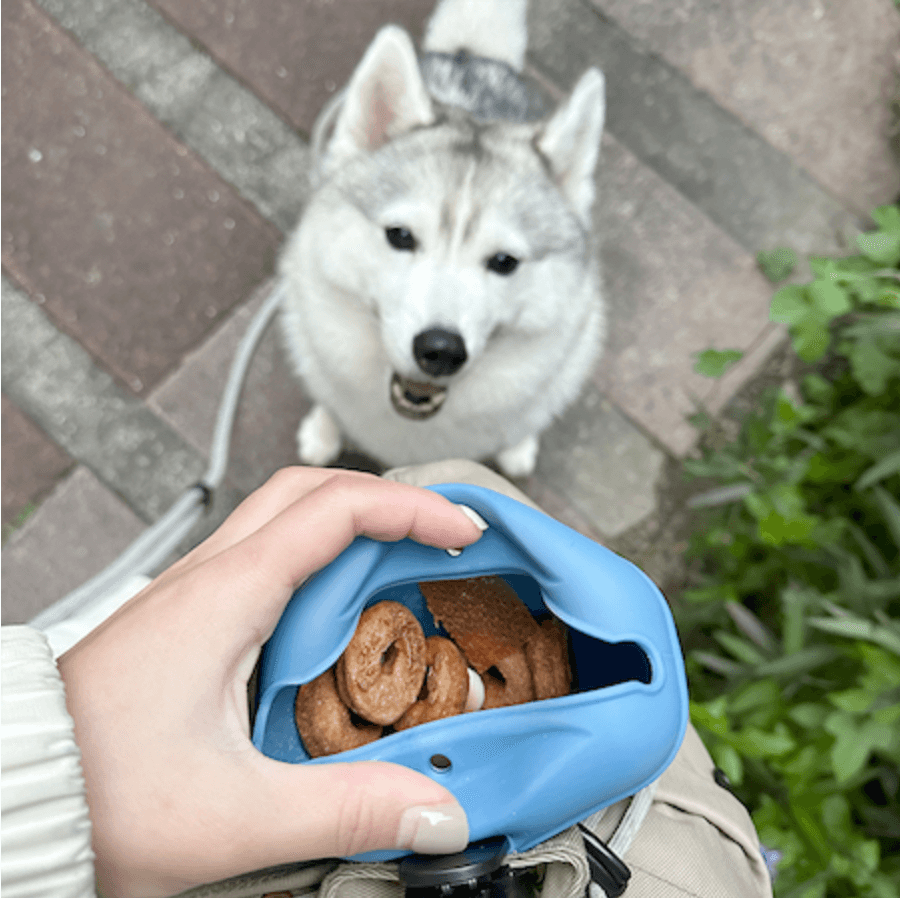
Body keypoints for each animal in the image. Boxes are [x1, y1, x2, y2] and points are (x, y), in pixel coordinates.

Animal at [280, 0, 604, 476]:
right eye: (400, 236)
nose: (442, 349)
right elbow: (328, 397)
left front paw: (517, 445)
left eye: (504, 261)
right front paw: (323, 432)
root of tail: (468, 57)